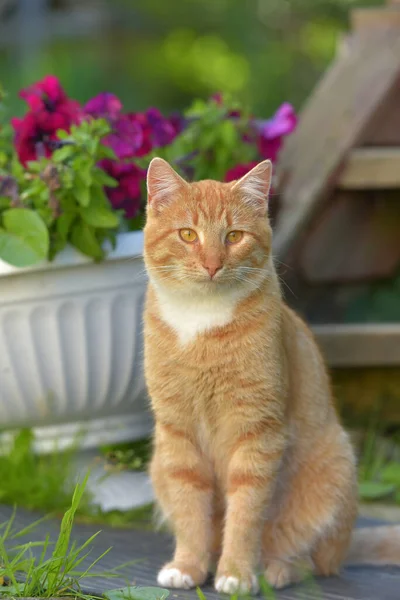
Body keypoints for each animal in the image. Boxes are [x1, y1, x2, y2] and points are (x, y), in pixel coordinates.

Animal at [144, 157, 400, 592]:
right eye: (187, 234)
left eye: (233, 236)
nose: (212, 265)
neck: (201, 323)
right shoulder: (177, 432)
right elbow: (190, 507)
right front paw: (189, 566)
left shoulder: (257, 431)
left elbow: (246, 513)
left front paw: (235, 572)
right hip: (158, 461)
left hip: (334, 468)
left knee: (316, 562)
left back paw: (277, 570)